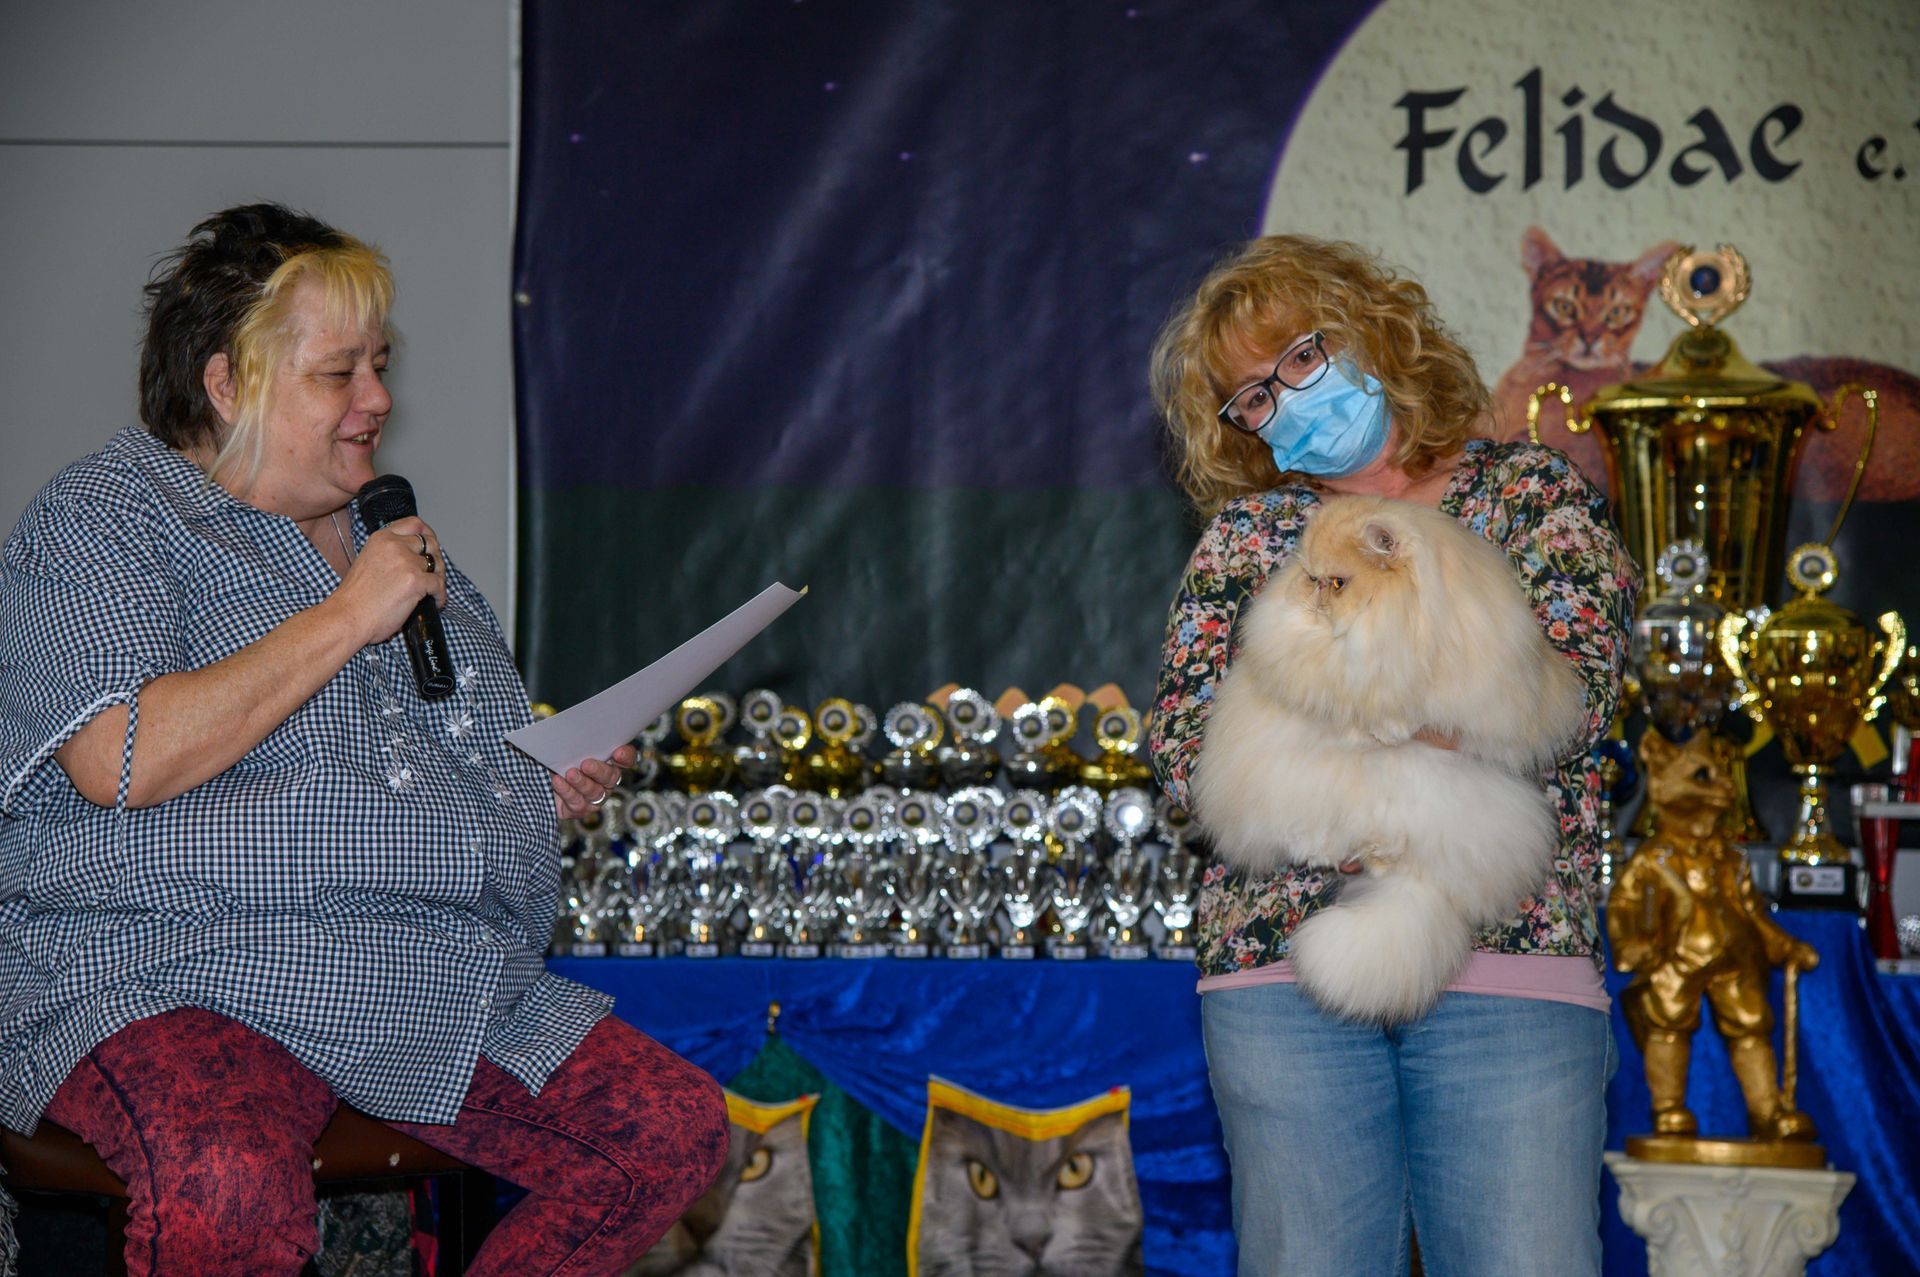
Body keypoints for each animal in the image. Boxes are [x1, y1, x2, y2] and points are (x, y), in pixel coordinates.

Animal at [1191, 496, 1587, 1023]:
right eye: (1310, 576)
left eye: (1338, 582)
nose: (1314, 593)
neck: (1387, 621)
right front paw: (1364, 729)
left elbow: (1414, 708)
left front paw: (1388, 729)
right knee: (1317, 836)